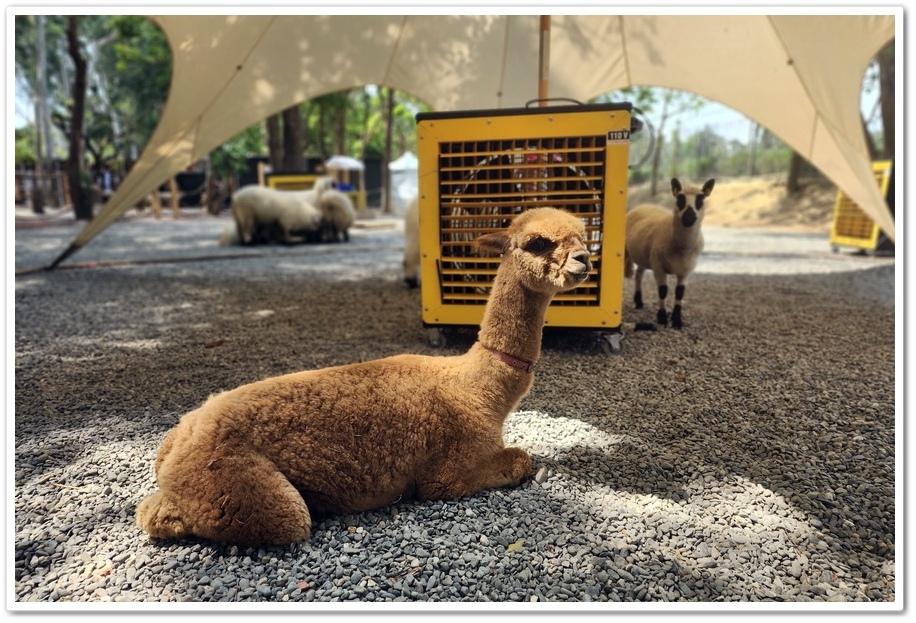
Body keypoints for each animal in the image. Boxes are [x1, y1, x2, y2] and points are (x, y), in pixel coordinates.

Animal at [136, 206, 592, 544]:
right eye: (537, 243)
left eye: (583, 237)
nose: (584, 261)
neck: (477, 387)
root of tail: (178, 438)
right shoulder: (448, 472)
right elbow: (519, 459)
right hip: (241, 488)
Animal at [624, 177, 716, 330]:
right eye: (679, 197)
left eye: (701, 198)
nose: (689, 216)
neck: (681, 248)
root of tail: (642, 206)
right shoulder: (658, 266)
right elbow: (663, 290)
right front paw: (662, 318)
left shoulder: (686, 270)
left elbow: (679, 293)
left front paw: (677, 320)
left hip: (644, 255)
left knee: (639, 275)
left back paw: (639, 302)